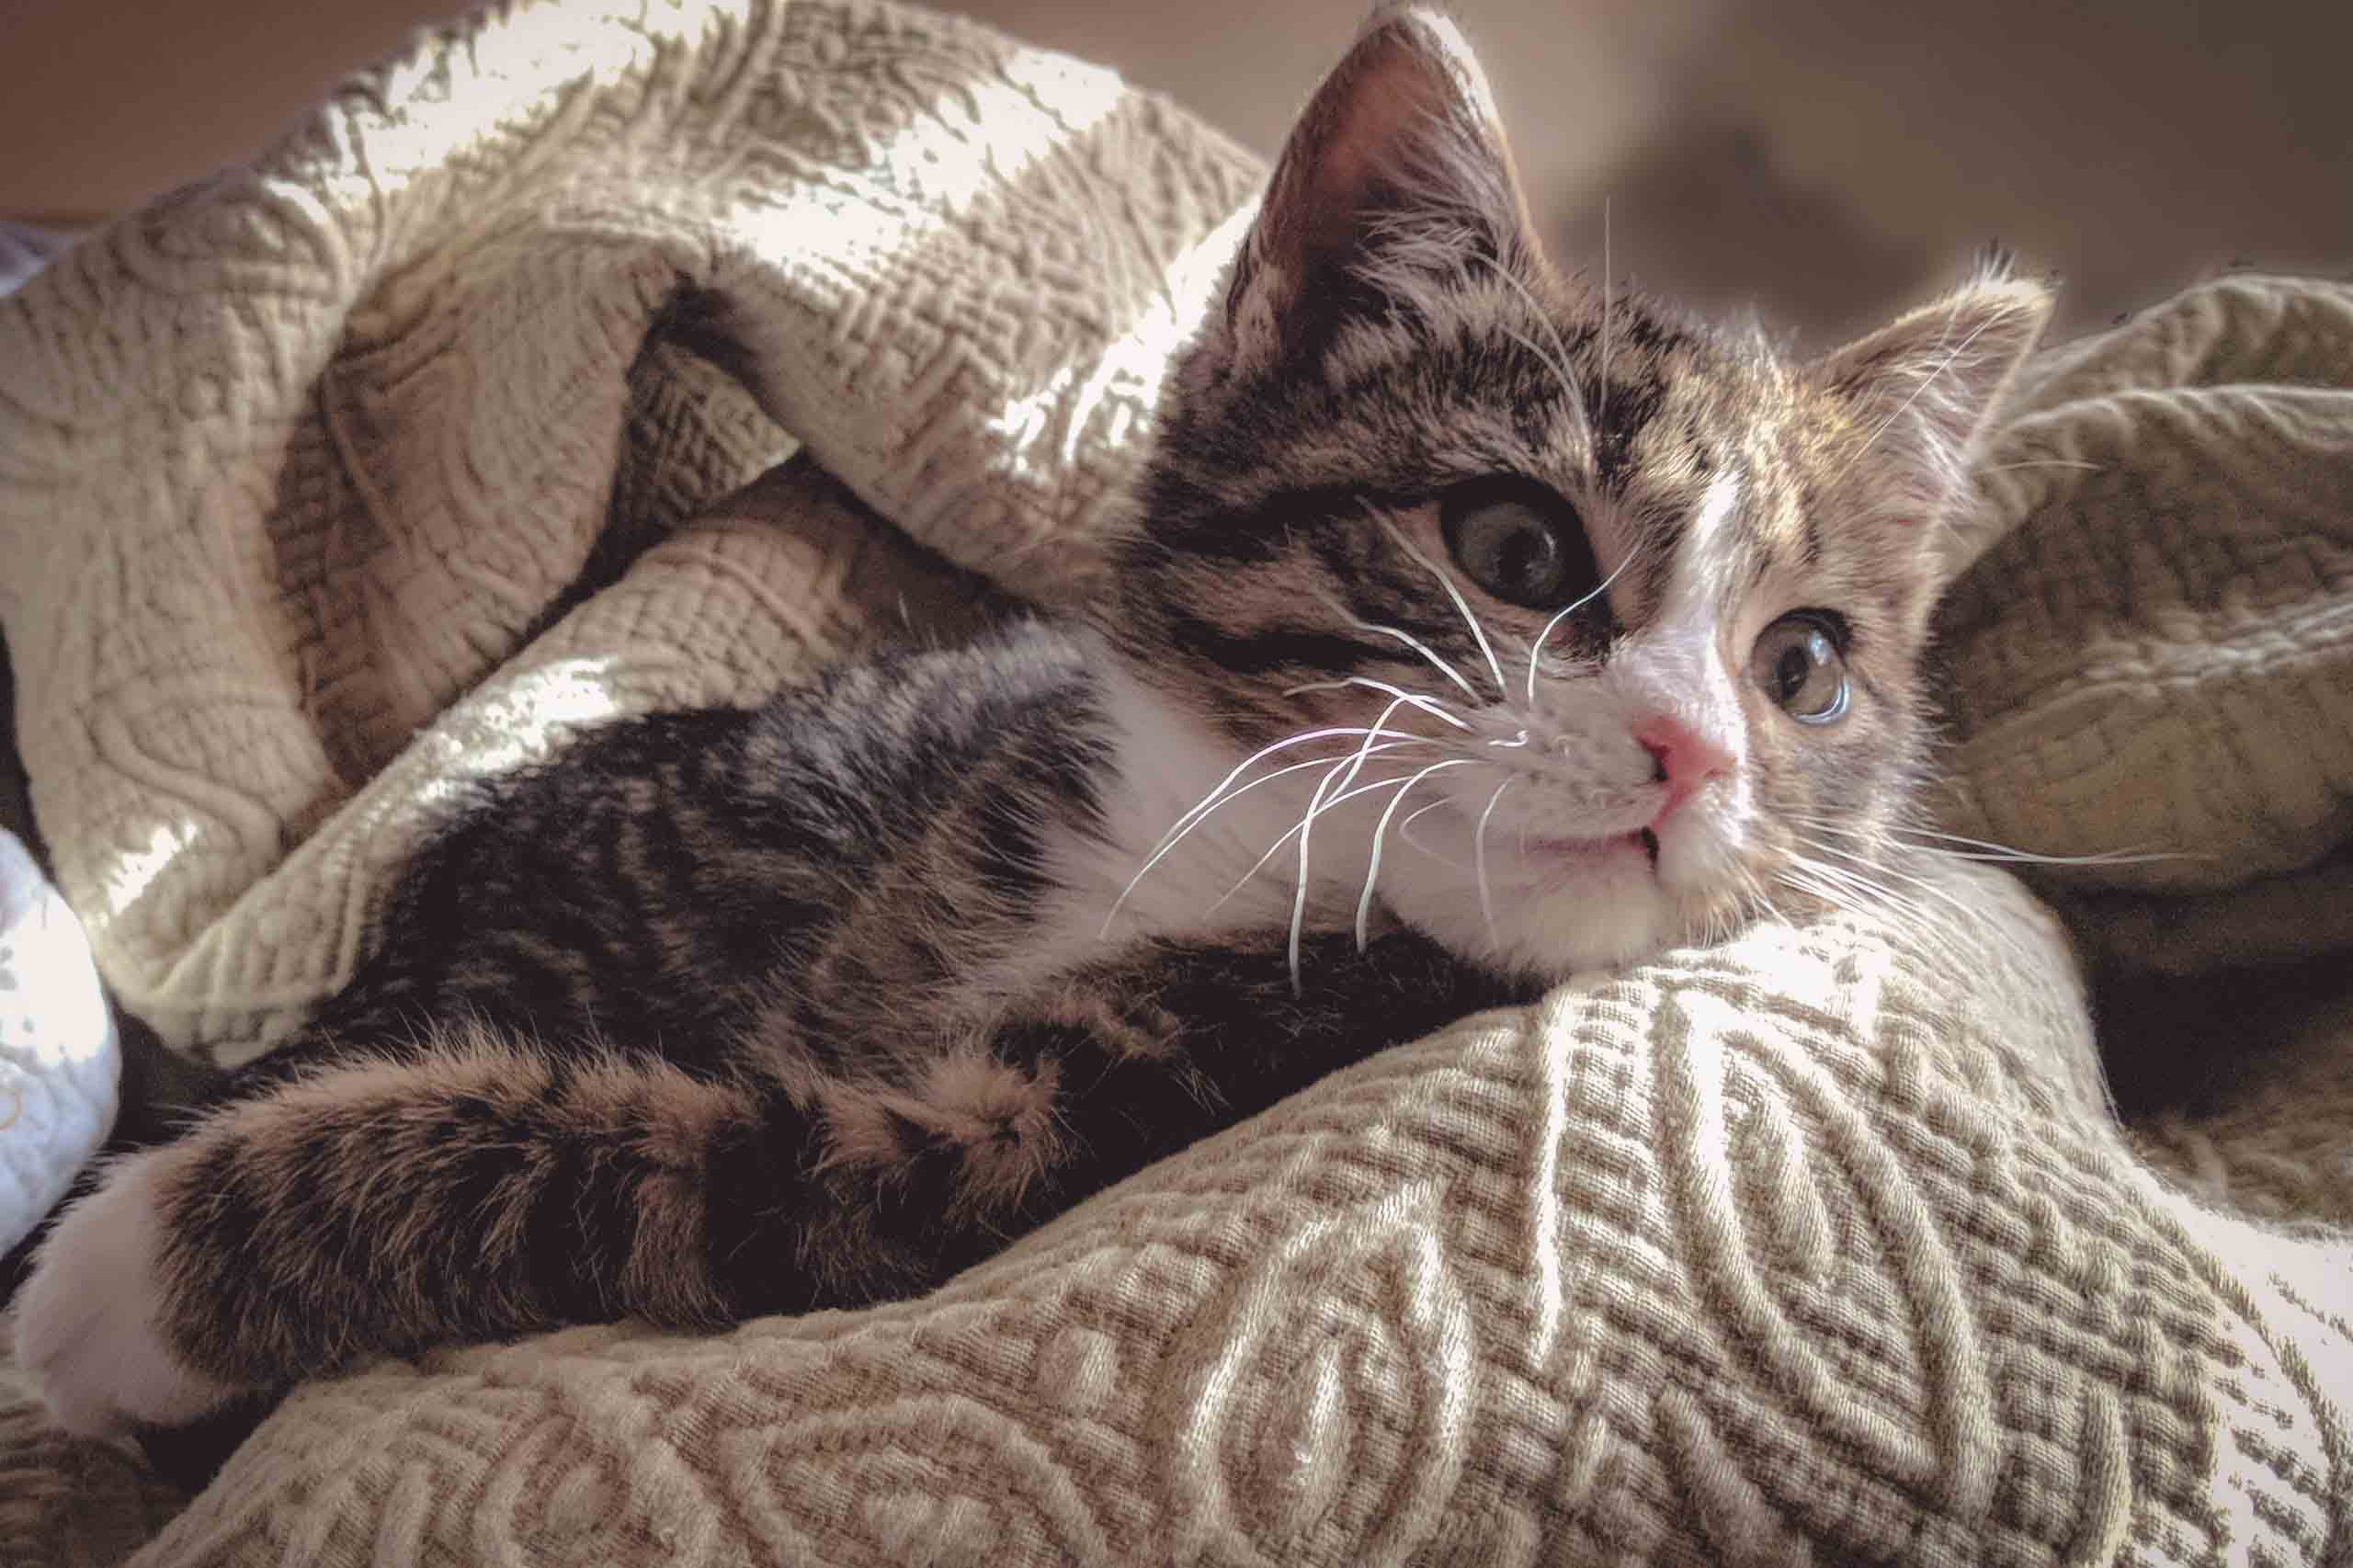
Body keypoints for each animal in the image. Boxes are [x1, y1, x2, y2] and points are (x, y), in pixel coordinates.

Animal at [14, 6, 2042, 1431]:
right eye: (1517, 545)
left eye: (1802, 667)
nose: (1698, 754)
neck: (1218, 842)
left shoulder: (1040, 1139)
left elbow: (677, 1165)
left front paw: (132, 1273)